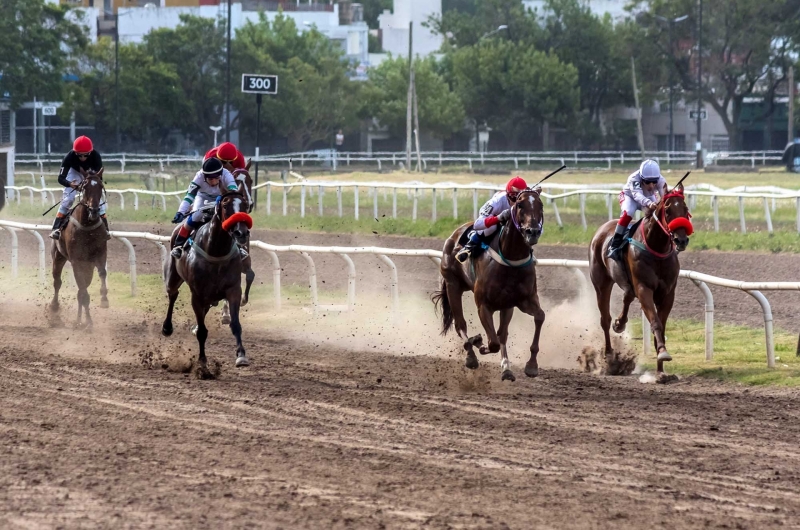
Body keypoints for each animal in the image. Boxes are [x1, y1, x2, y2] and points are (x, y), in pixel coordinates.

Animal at [49, 168, 109, 326]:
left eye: (100, 186)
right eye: (85, 187)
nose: (94, 210)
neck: (87, 226)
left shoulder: (100, 254)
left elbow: (102, 273)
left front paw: (104, 299)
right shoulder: (77, 261)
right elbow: (83, 292)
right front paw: (88, 322)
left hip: (88, 266)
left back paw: (79, 320)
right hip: (58, 256)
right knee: (57, 282)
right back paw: (54, 307)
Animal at [161, 182, 252, 376]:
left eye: (244, 205)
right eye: (225, 204)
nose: (241, 233)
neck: (216, 251)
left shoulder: (233, 290)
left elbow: (235, 324)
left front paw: (241, 356)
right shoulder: (197, 294)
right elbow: (203, 331)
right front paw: (202, 364)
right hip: (173, 277)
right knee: (173, 295)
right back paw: (167, 327)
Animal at [434, 188, 548, 382]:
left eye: (540, 205)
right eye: (520, 205)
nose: (532, 232)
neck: (511, 259)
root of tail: (454, 235)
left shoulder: (523, 300)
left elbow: (539, 317)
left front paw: (531, 366)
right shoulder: (483, 305)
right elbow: (492, 342)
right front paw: (477, 342)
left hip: (505, 305)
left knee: (502, 333)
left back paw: (506, 368)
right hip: (452, 285)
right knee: (460, 325)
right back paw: (471, 355)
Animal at [588, 184, 692, 374]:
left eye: (685, 209)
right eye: (668, 210)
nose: (681, 240)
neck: (656, 249)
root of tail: (602, 229)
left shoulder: (668, 293)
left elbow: (661, 325)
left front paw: (661, 370)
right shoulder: (644, 289)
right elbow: (656, 322)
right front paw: (663, 353)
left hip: (628, 284)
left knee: (627, 296)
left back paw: (620, 323)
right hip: (601, 283)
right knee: (605, 319)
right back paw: (609, 357)